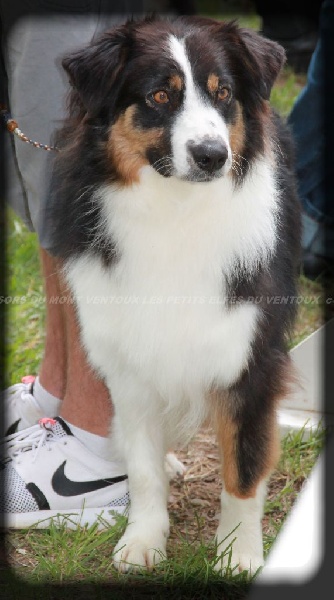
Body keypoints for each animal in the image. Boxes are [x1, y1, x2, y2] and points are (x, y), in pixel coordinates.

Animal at [49, 16, 300, 576]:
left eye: (223, 93)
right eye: (160, 96)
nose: (212, 155)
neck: (176, 209)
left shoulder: (250, 360)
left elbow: (243, 467)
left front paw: (239, 555)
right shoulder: (127, 357)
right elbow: (143, 468)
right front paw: (144, 540)